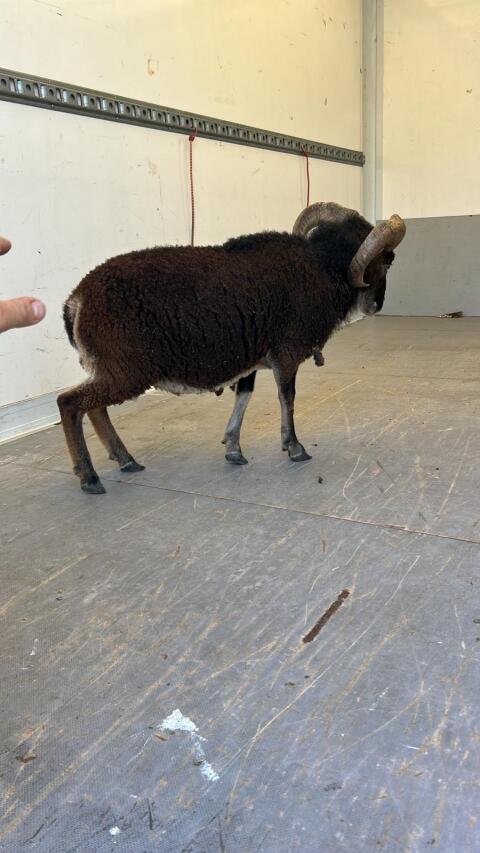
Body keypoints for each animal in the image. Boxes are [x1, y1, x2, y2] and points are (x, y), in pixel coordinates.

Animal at [58, 202, 405, 494]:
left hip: (112, 370)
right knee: (70, 404)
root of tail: (76, 301)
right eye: (386, 262)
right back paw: (89, 476)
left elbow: (244, 396)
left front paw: (234, 449)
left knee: (95, 408)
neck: (322, 269)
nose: (376, 305)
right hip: (126, 371)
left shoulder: (250, 359)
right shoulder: (286, 353)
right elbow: (287, 397)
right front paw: (294, 447)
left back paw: (125, 459)